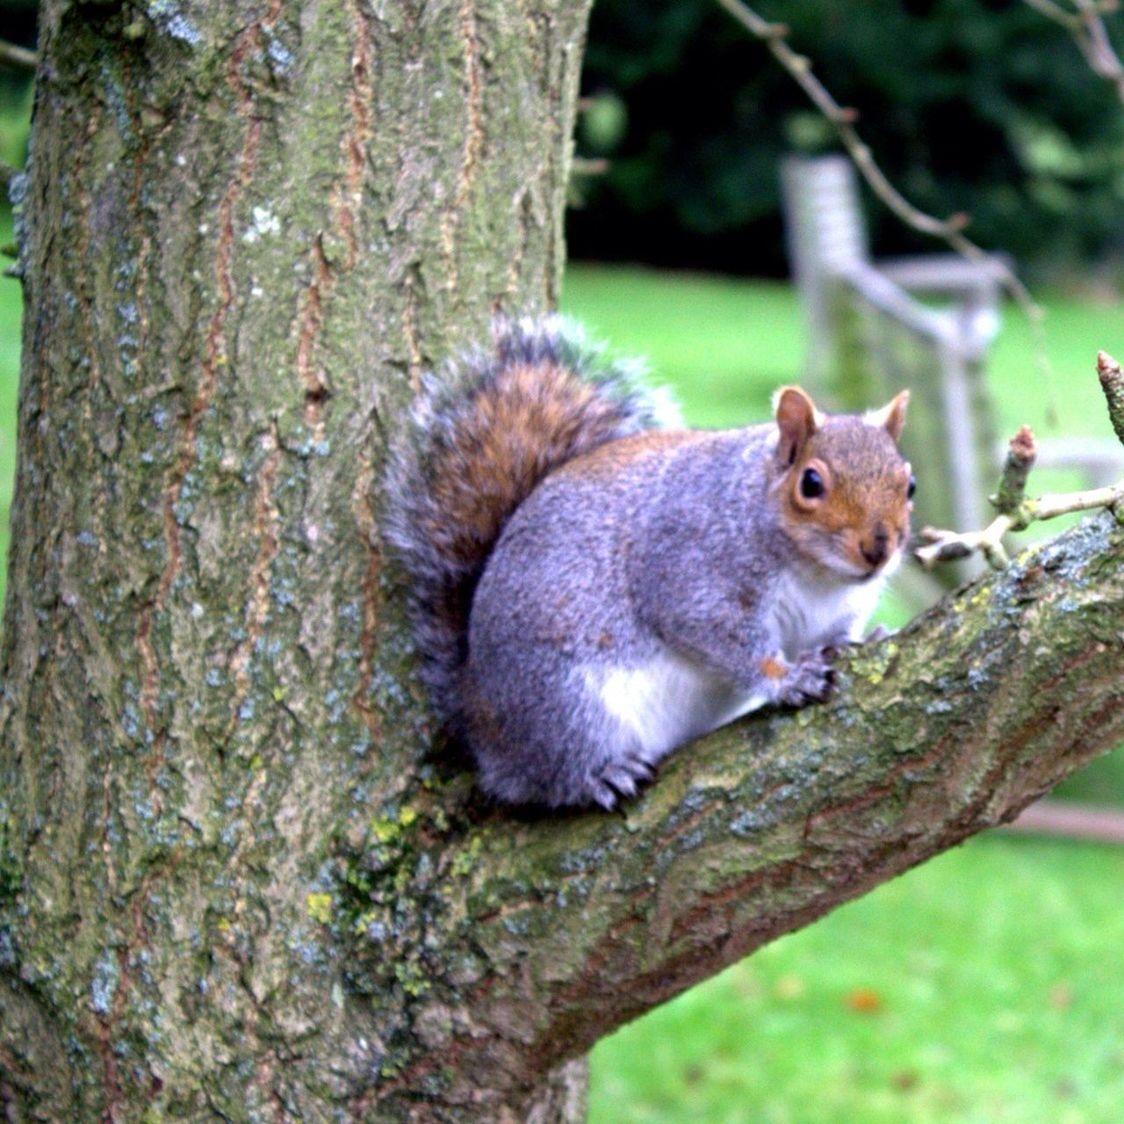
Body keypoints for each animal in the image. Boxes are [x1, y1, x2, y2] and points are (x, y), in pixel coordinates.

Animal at [386, 316, 912, 809]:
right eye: (811, 483)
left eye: (909, 484)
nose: (878, 548)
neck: (819, 575)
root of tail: (474, 709)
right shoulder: (690, 569)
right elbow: (721, 637)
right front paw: (787, 679)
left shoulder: (835, 608)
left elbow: (832, 635)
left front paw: (864, 640)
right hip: (560, 702)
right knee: (545, 776)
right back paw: (598, 775)